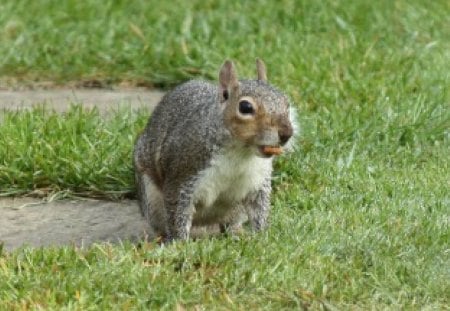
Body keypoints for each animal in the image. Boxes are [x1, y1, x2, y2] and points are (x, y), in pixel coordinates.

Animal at [132, 59, 298, 243]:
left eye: (286, 103)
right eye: (245, 107)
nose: (286, 134)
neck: (240, 152)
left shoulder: (258, 181)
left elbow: (259, 209)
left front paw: (262, 237)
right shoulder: (183, 173)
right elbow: (178, 211)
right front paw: (179, 243)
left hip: (236, 209)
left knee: (230, 223)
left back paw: (237, 233)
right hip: (152, 202)